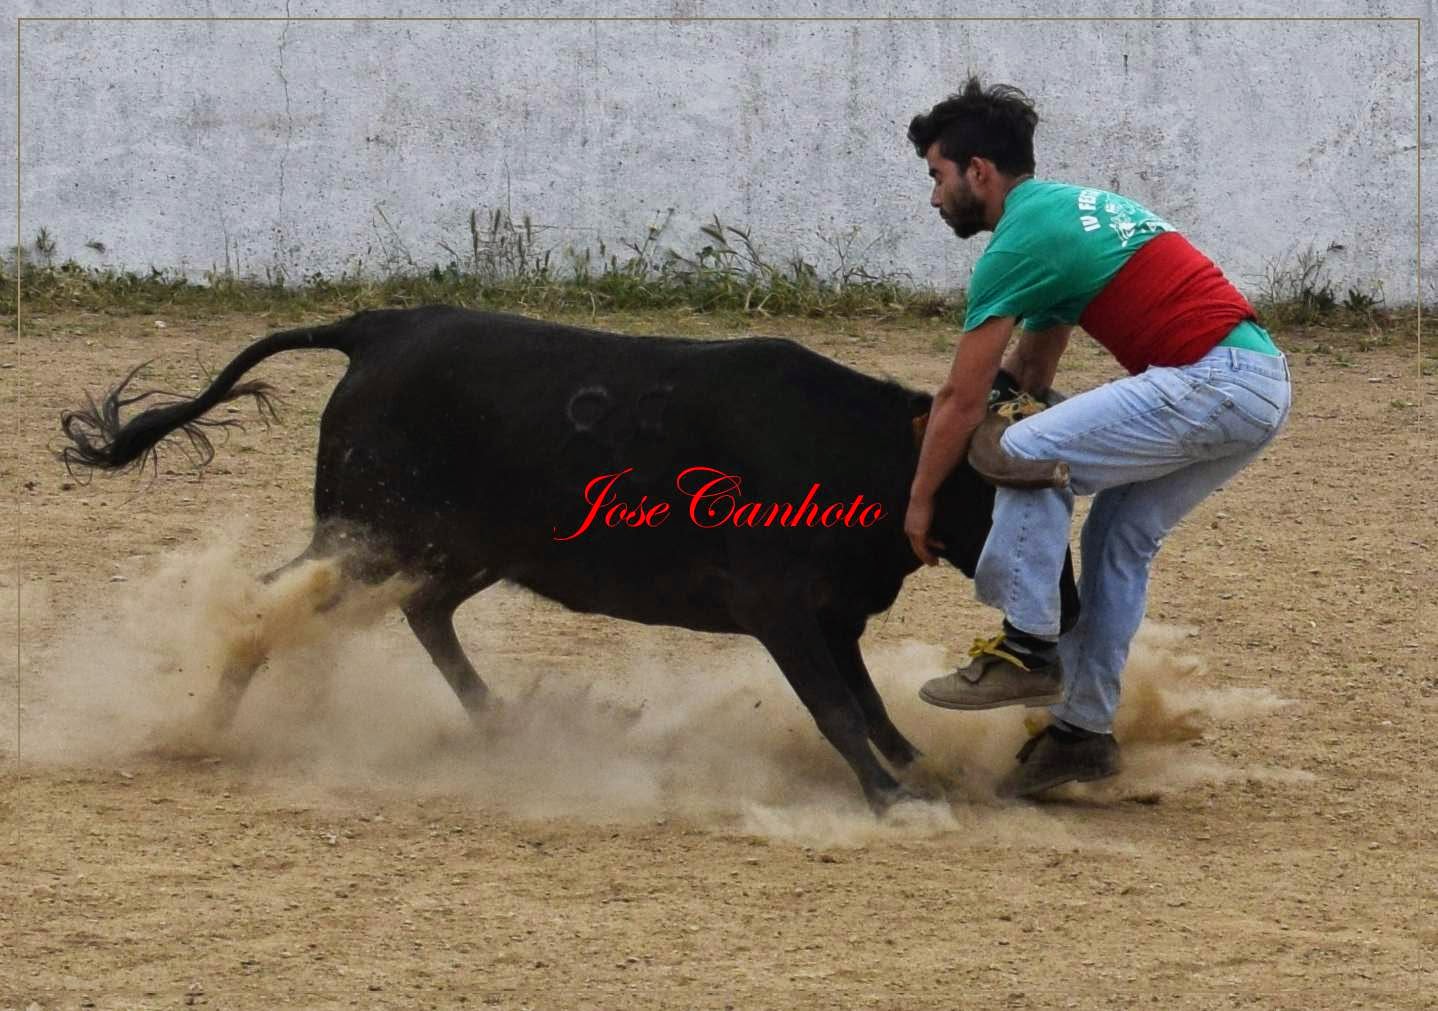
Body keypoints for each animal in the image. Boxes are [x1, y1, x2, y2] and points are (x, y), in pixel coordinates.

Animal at [61, 306, 1078, 811]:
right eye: (1012, 500)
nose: (1067, 612)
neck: (864, 449)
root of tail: (379, 326)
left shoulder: (831, 614)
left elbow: (865, 702)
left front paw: (921, 768)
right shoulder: (782, 607)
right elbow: (834, 705)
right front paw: (889, 795)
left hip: (452, 545)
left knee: (420, 613)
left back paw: (502, 723)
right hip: (368, 534)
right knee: (273, 602)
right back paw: (213, 717)